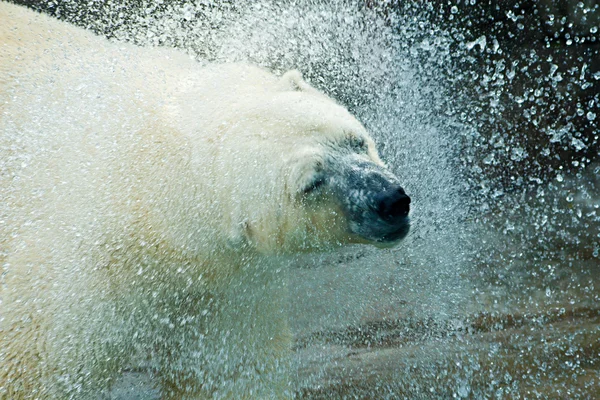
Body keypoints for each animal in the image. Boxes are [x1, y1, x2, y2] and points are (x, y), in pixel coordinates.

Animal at [0, 1, 408, 398]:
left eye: (355, 139)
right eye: (311, 183)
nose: (390, 200)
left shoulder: (224, 284)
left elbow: (231, 371)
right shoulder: (77, 273)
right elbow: (32, 367)